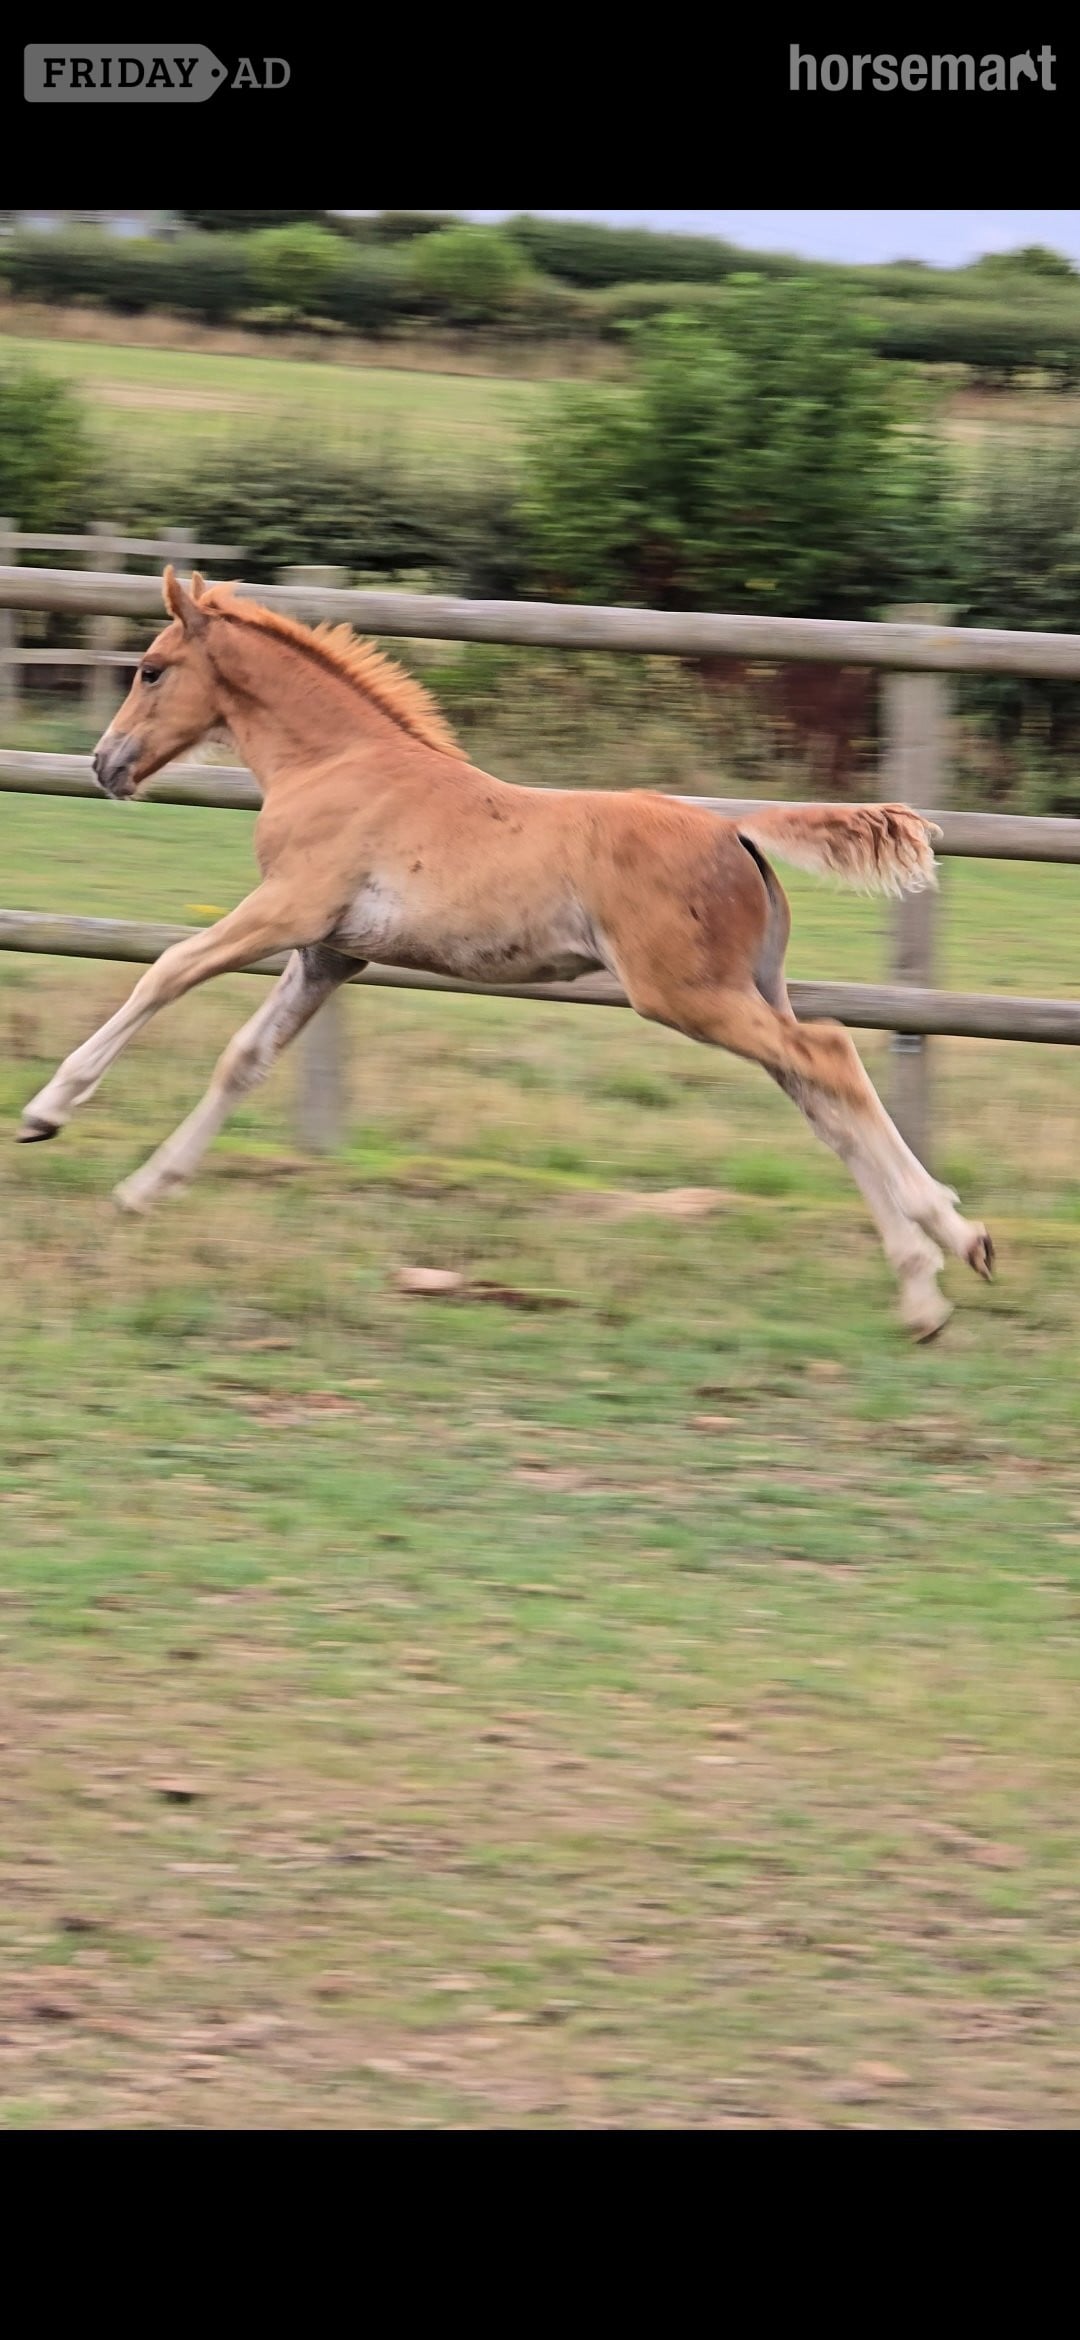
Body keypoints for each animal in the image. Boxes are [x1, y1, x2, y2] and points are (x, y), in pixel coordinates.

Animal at [16, 566, 993, 1339]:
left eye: (150, 669)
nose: (104, 764)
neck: (336, 763)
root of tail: (738, 830)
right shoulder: (331, 953)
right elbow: (244, 1059)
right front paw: (145, 1190)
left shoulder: (287, 910)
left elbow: (167, 969)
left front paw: (47, 1111)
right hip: (743, 990)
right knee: (820, 1095)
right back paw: (930, 1279)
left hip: (685, 993)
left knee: (827, 1056)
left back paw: (944, 1246)